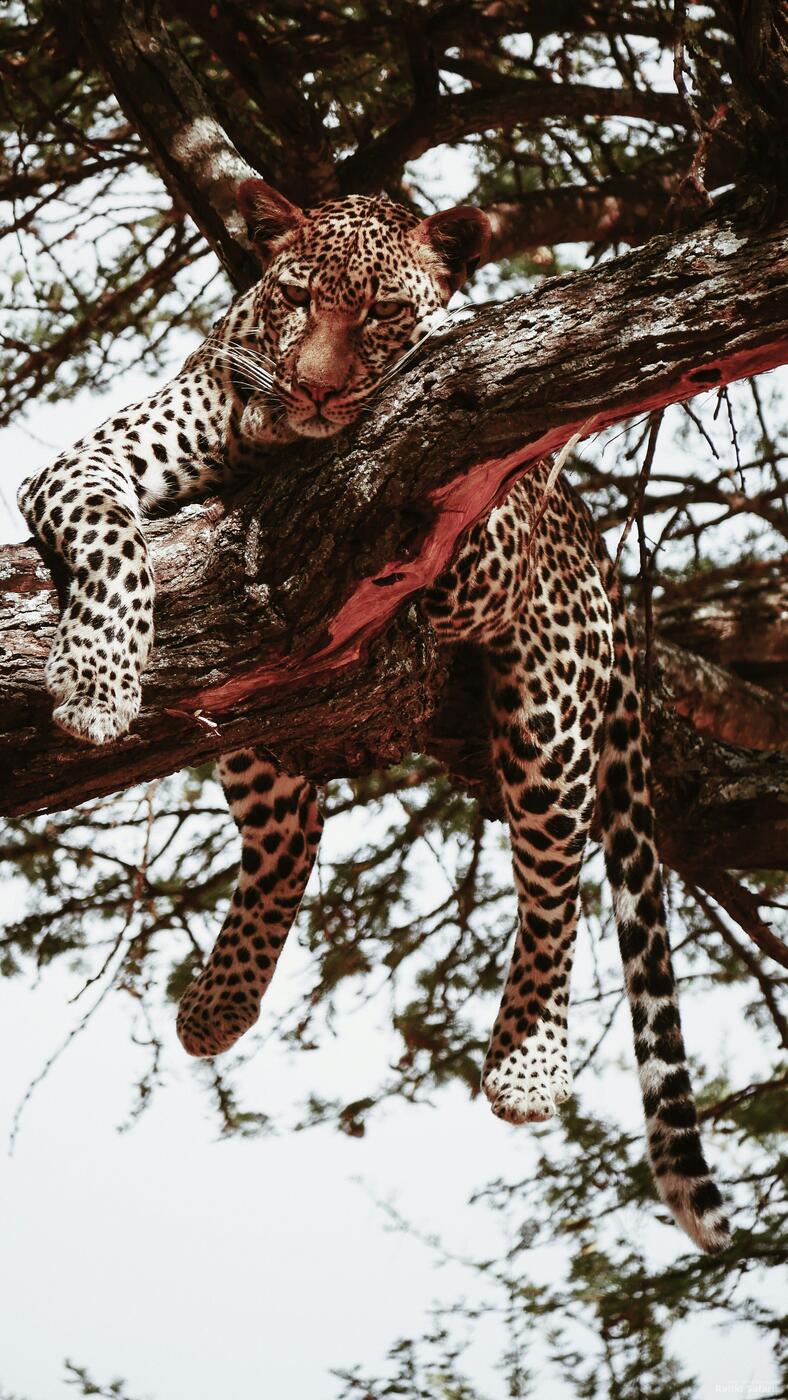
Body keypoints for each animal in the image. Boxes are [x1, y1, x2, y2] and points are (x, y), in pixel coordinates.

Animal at [19, 178, 729, 1253]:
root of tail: (598, 546)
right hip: (265, 718)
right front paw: (99, 680)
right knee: (292, 831)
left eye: (382, 312)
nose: (312, 392)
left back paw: (526, 1062)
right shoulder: (87, 463)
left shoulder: (471, 546)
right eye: (296, 296)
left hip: (551, 696)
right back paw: (217, 1005)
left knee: (553, 871)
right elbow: (107, 533)